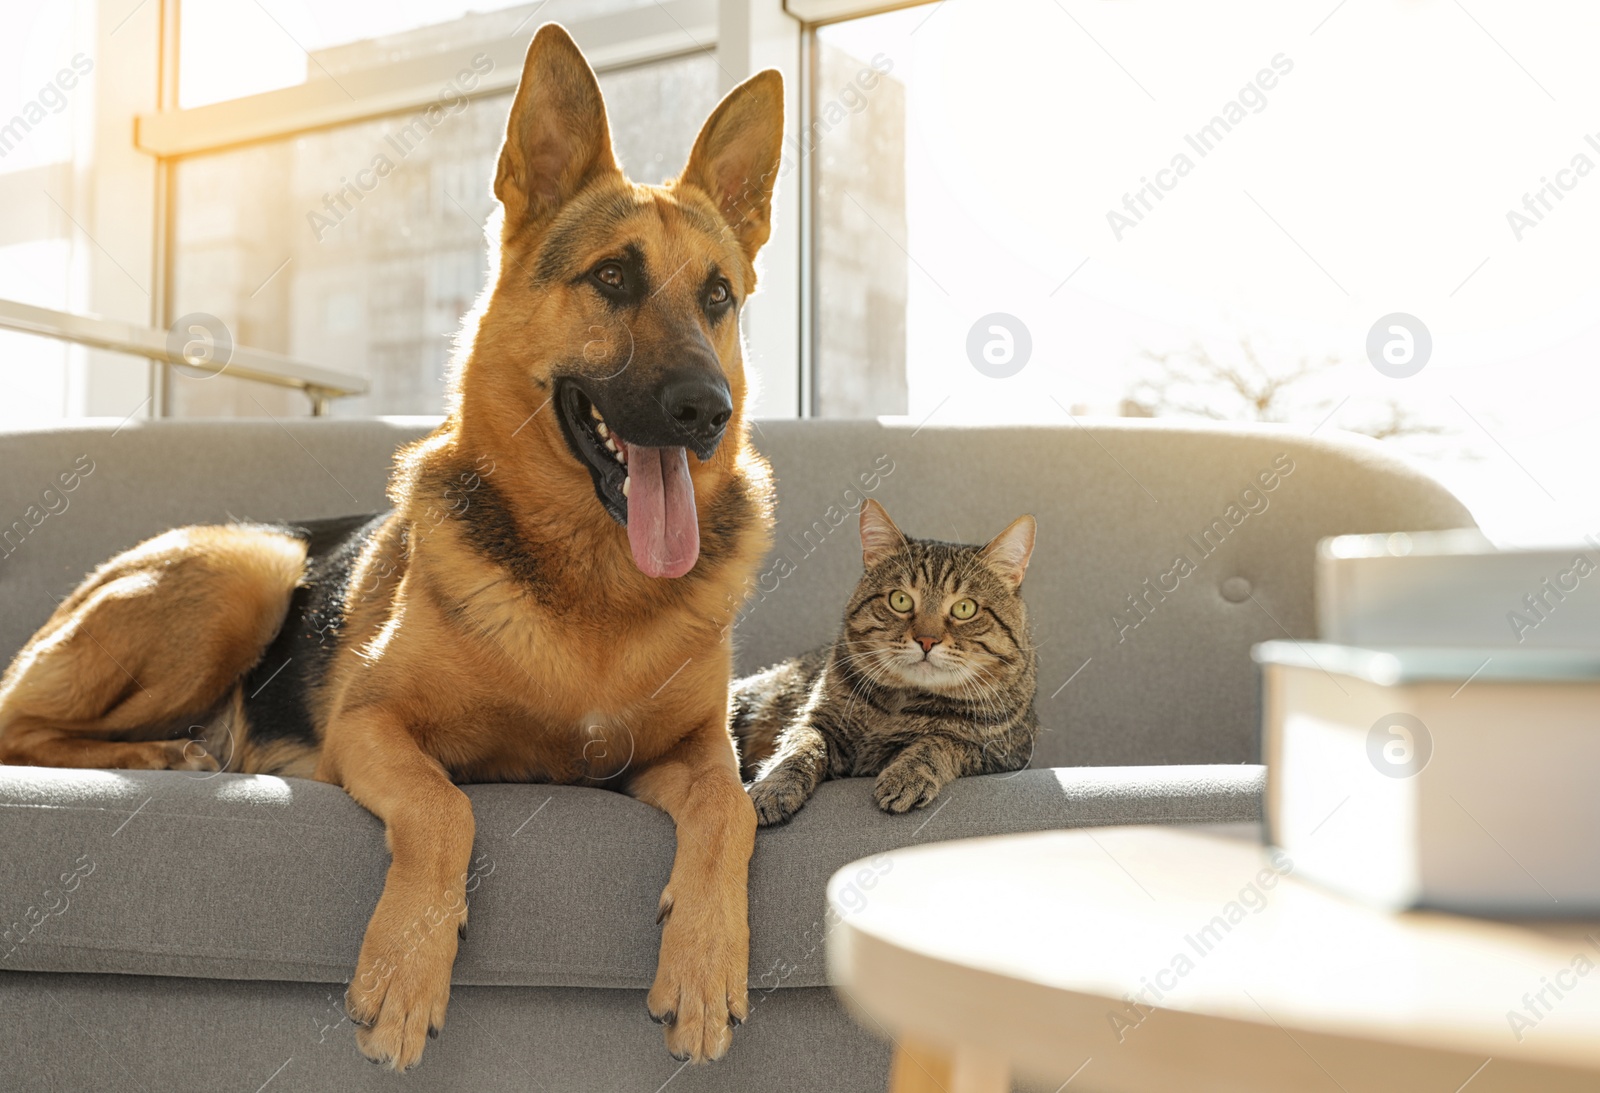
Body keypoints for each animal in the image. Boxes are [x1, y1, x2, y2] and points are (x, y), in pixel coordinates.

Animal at [0, 27, 780, 1075]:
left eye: (718, 295)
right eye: (613, 277)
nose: (707, 411)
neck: (592, 581)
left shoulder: (685, 753)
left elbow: (732, 809)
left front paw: (703, 964)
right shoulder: (371, 728)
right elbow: (448, 810)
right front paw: (407, 974)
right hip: (248, 573)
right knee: (20, 725)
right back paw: (168, 752)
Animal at [732, 499, 1043, 825]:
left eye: (964, 608)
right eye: (900, 601)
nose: (926, 640)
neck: (900, 705)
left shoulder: (1004, 753)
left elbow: (939, 742)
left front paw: (905, 775)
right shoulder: (816, 721)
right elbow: (798, 748)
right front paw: (773, 786)